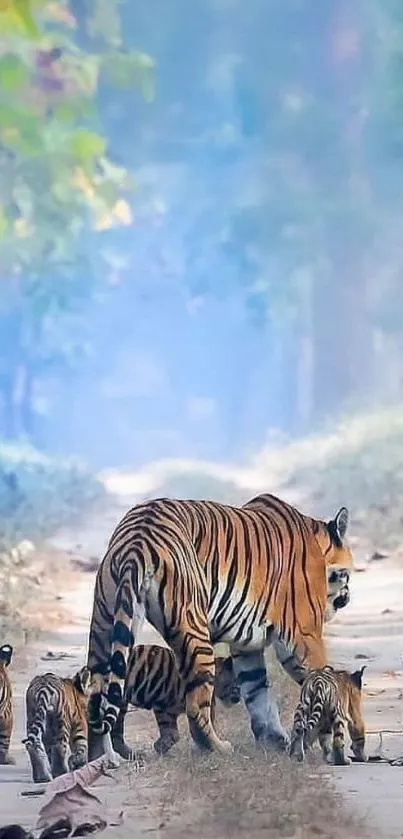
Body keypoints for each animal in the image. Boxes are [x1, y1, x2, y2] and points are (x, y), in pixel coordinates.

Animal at [87, 496, 354, 756]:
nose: (348, 597)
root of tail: (137, 538)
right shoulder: (303, 636)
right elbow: (320, 682)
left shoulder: (246, 645)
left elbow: (257, 692)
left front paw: (273, 741)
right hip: (195, 631)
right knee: (196, 705)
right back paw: (218, 748)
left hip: (104, 624)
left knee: (96, 697)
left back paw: (103, 758)